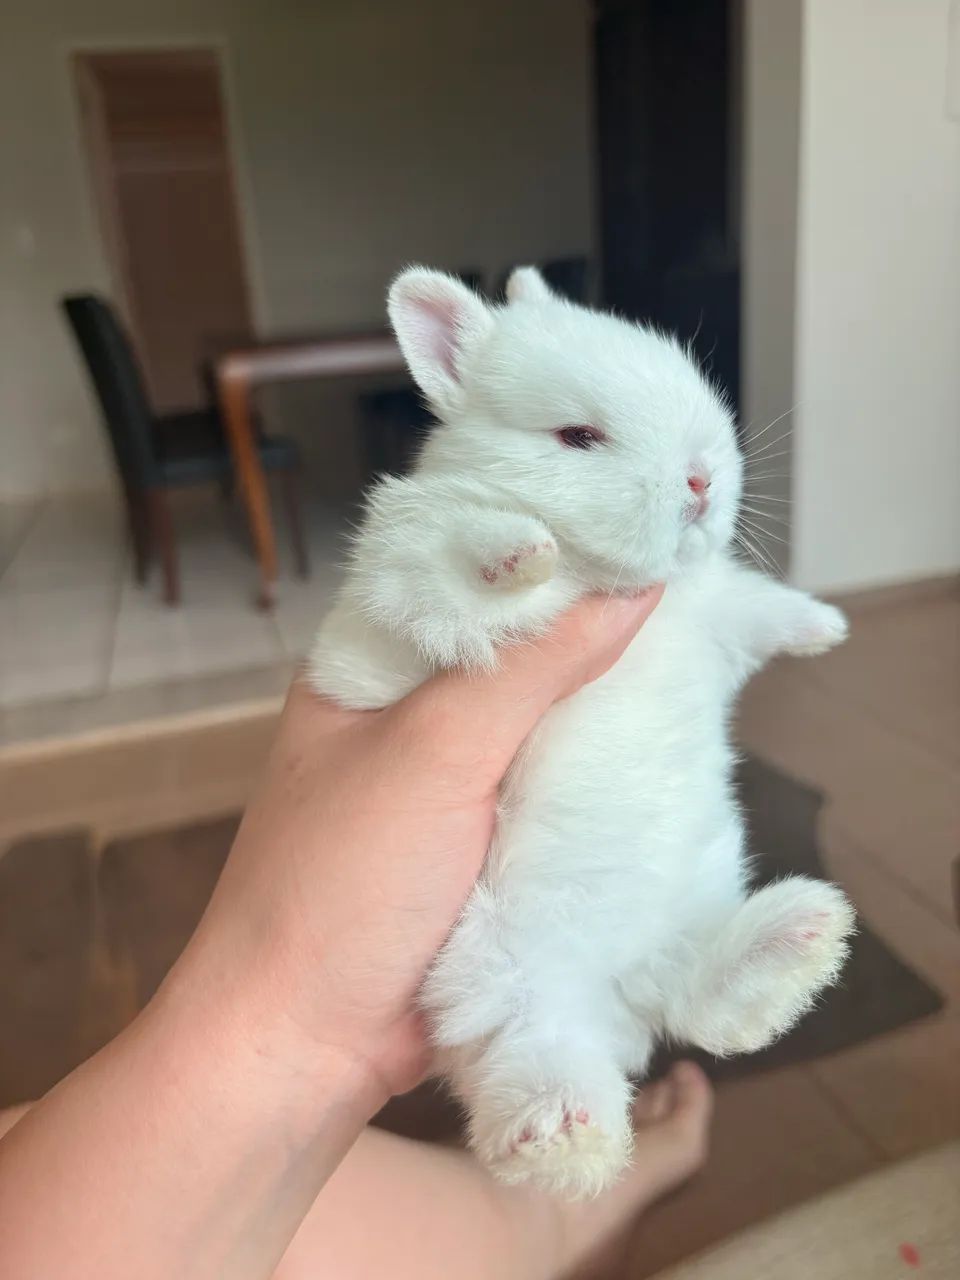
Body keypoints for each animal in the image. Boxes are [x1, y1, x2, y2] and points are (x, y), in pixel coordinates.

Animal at [308, 265, 855, 1198]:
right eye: (576, 436)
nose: (702, 480)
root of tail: (617, 991)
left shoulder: (715, 613)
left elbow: (755, 606)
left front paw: (826, 626)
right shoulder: (406, 582)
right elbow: (461, 559)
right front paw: (525, 552)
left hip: (685, 914)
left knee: (700, 1001)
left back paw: (801, 943)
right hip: (496, 984)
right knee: (539, 1061)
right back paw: (566, 1138)